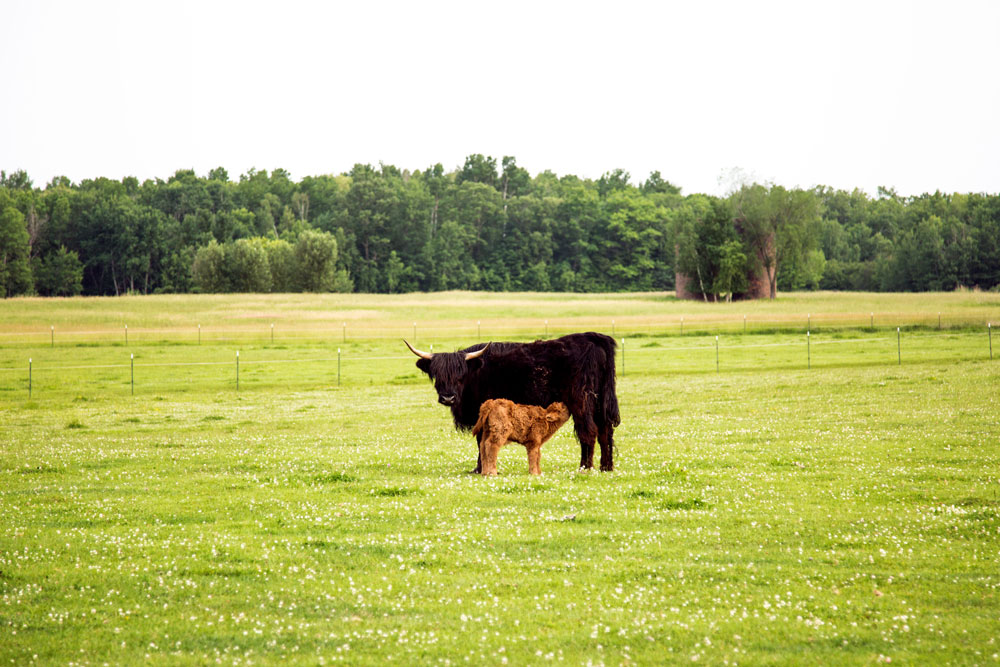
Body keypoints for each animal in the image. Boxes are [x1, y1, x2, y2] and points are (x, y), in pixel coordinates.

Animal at [404, 332, 620, 472]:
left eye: (460, 375)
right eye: (437, 374)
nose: (448, 397)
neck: (476, 372)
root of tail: (594, 338)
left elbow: (481, 440)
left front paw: (480, 468)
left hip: (581, 401)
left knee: (588, 432)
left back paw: (585, 467)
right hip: (600, 401)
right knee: (605, 431)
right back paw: (606, 467)